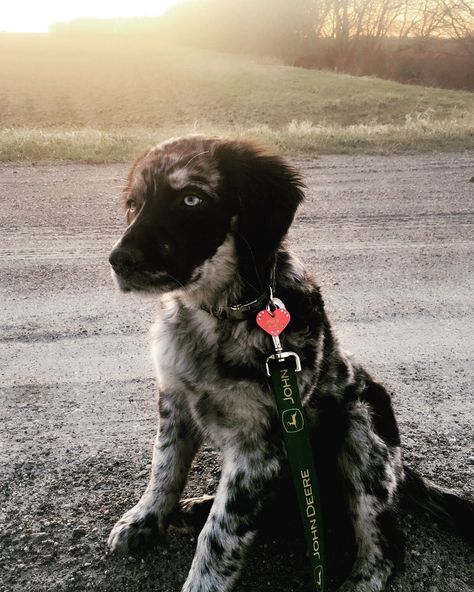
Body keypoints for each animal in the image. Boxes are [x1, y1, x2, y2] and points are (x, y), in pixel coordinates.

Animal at [108, 135, 474, 592]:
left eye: (192, 199)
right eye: (133, 204)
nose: (118, 261)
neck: (223, 314)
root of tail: (405, 475)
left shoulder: (261, 447)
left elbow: (220, 537)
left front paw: (201, 580)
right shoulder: (175, 399)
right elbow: (164, 467)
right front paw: (144, 519)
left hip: (363, 434)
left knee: (387, 546)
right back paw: (200, 505)